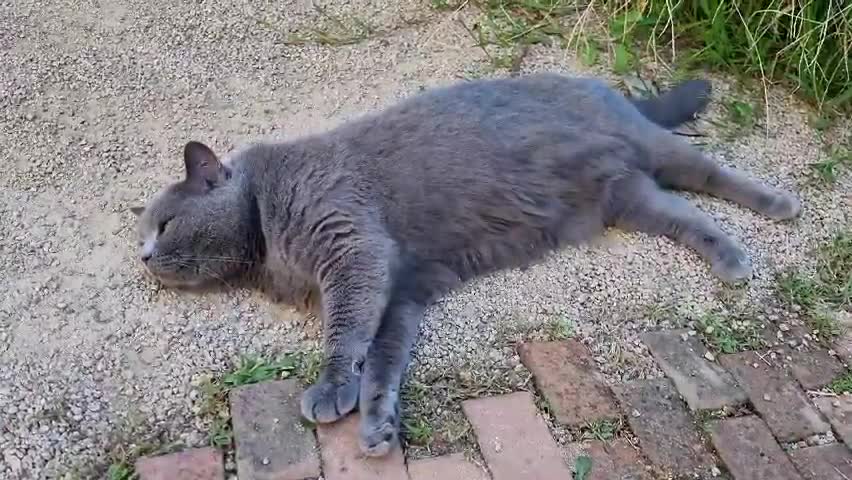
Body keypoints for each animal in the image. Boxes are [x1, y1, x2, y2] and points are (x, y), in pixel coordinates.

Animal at [131, 72, 800, 458]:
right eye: (145, 231)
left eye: (164, 225)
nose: (142, 256)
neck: (266, 234)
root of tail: (604, 86)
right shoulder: (400, 293)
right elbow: (381, 361)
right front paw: (377, 423)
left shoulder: (353, 248)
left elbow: (345, 332)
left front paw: (330, 389)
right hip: (625, 197)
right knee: (687, 214)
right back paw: (729, 255)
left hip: (650, 150)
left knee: (710, 174)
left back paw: (779, 206)